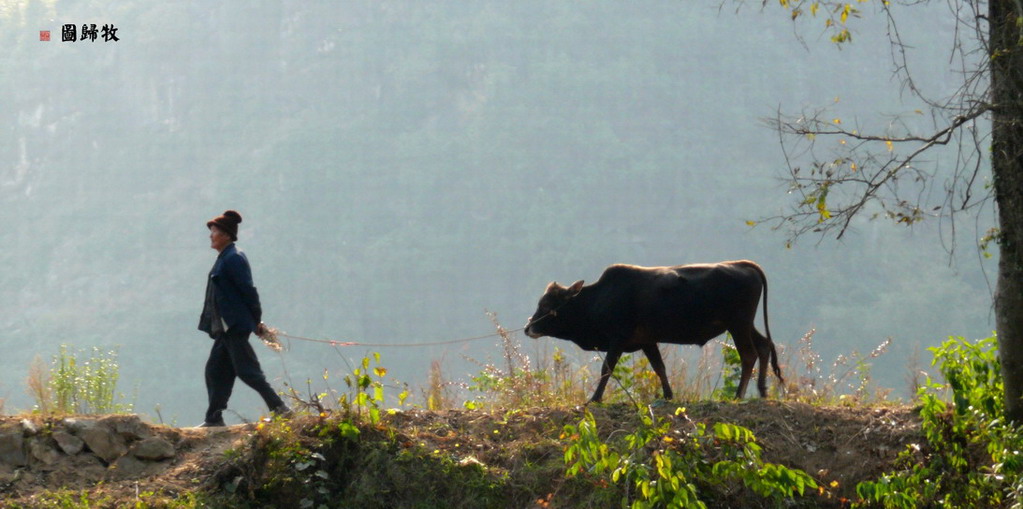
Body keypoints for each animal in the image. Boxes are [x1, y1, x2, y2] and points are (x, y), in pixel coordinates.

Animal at [527, 260, 781, 402]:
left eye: (547, 305)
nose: (528, 328)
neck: (598, 297)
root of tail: (743, 265)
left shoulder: (617, 339)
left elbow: (606, 369)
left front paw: (595, 398)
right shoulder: (647, 342)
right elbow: (659, 368)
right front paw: (668, 395)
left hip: (738, 324)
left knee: (749, 355)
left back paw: (738, 395)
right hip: (743, 325)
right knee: (764, 346)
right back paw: (762, 390)